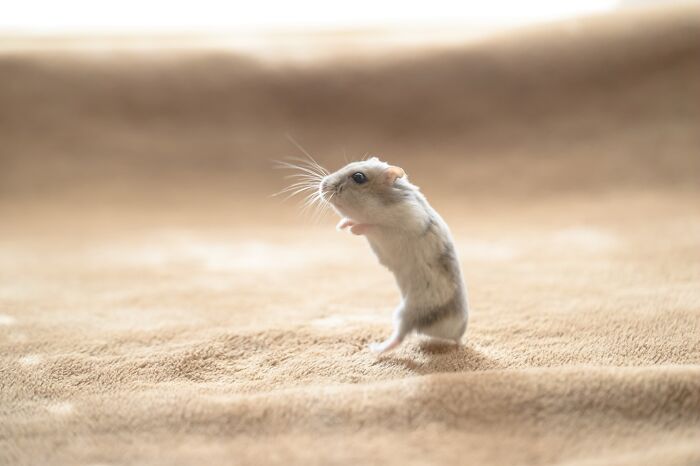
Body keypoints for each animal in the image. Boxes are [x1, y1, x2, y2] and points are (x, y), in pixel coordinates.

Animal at [318, 157, 469, 354]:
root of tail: (456, 333)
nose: (321, 186)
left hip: (410, 311)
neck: (383, 203)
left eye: (359, 177)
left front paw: (353, 229)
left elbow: (372, 225)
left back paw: (376, 348)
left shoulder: (400, 225)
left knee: (400, 335)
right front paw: (342, 225)